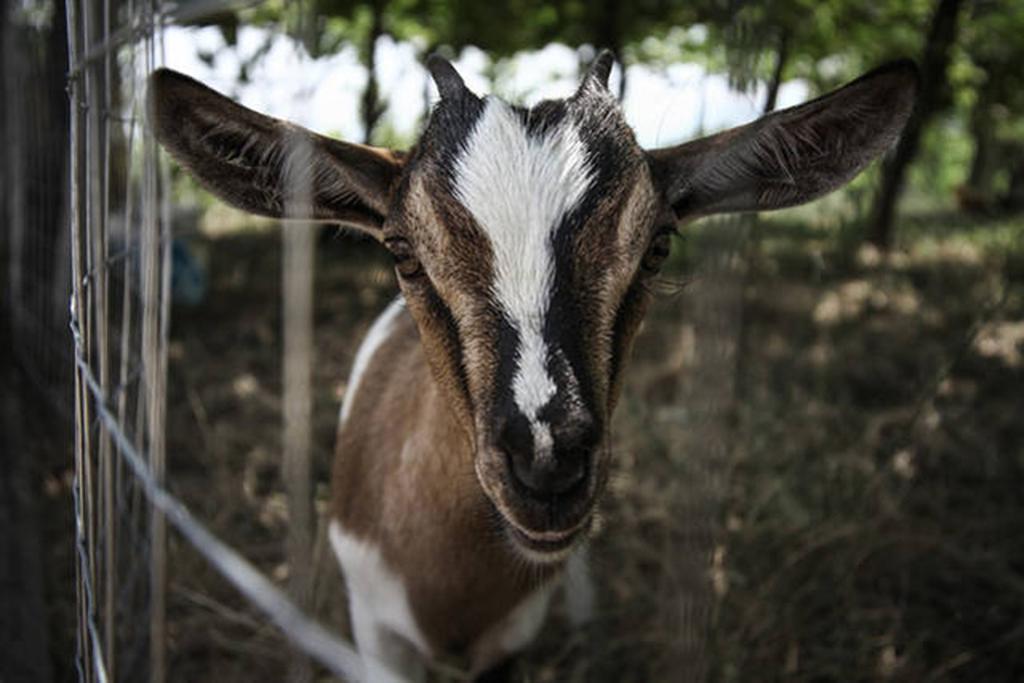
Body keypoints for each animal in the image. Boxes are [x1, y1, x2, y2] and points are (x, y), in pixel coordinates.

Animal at [146, 50, 921, 679]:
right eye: (402, 250)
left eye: (657, 246)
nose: (546, 459)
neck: (450, 588)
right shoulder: (376, 633)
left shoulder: (511, 639)